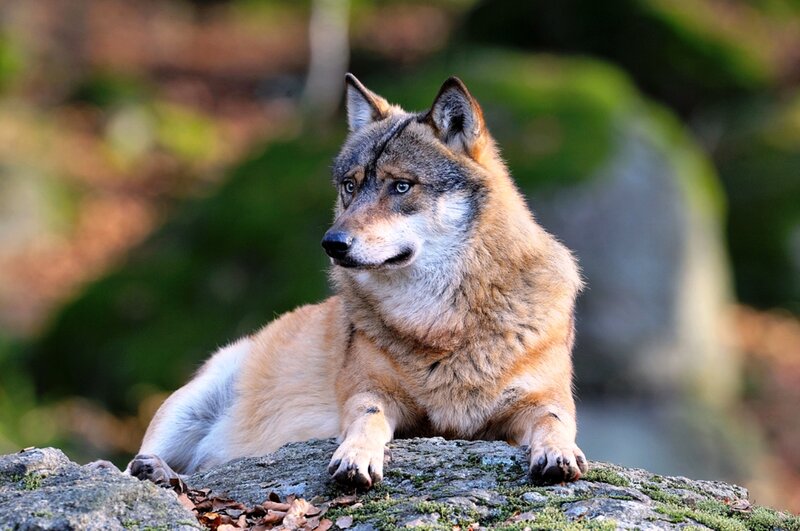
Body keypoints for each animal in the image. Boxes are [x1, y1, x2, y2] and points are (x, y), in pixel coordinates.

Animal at [124, 74, 587, 488]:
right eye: (350, 186)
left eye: (400, 187)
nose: (332, 243)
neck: (440, 323)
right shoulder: (371, 393)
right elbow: (368, 419)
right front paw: (355, 458)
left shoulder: (542, 401)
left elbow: (555, 422)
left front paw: (559, 453)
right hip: (188, 405)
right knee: (132, 466)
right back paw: (157, 472)